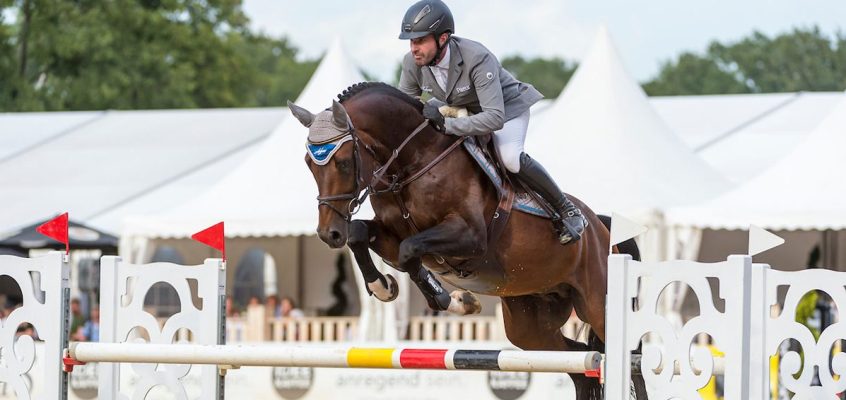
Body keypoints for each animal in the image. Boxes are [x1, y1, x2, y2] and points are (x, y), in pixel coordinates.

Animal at [288, 83, 644, 398]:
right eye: (308, 164)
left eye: (343, 162)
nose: (329, 233)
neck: (412, 163)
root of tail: (602, 228)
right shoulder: (390, 232)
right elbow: (364, 235)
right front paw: (384, 286)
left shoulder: (470, 238)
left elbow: (409, 251)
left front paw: (452, 299)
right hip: (531, 323)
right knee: (579, 362)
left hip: (597, 304)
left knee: (630, 360)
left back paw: (571, 221)